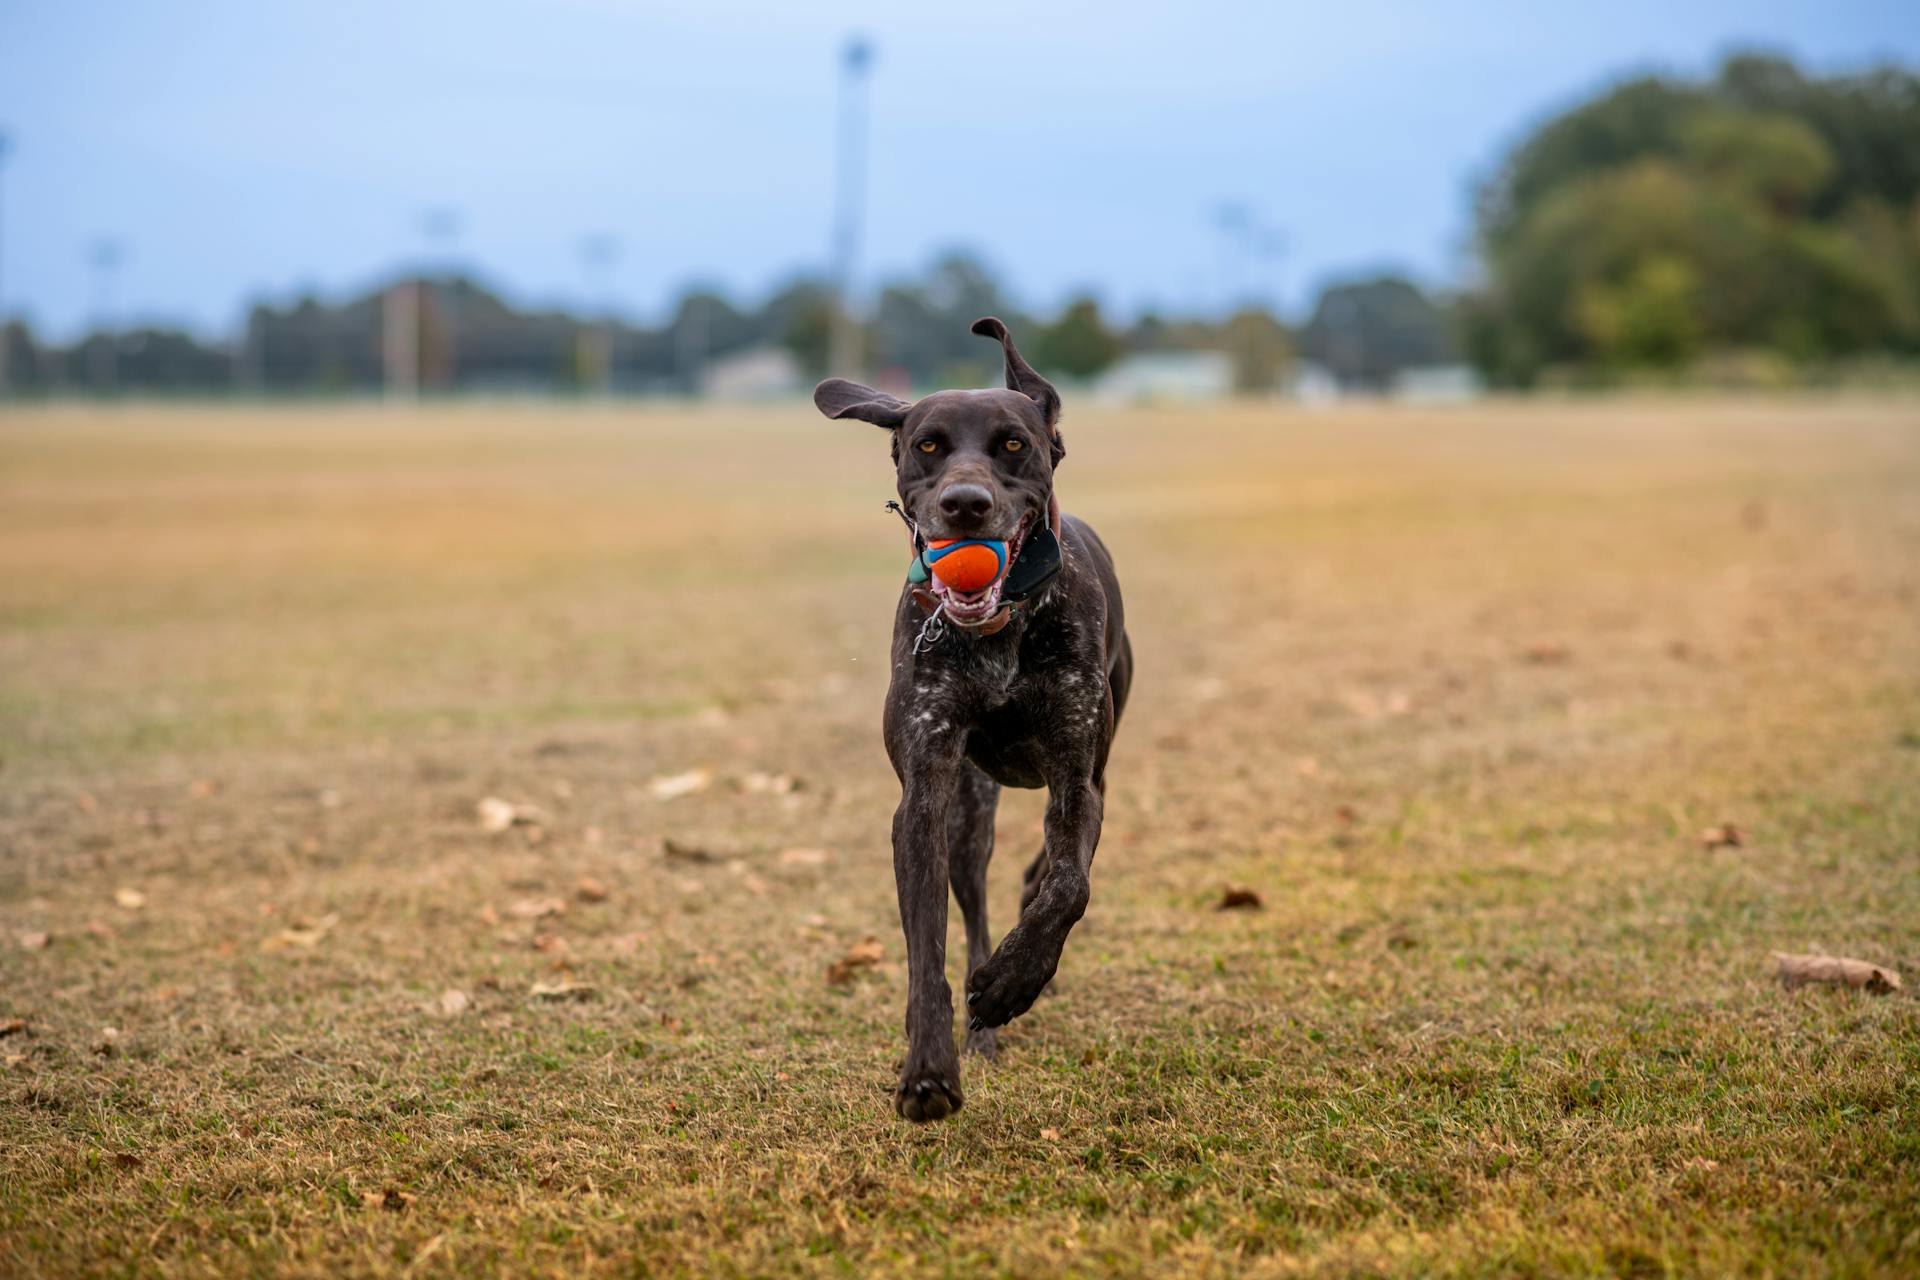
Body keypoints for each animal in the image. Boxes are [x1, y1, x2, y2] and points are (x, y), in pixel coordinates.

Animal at [806, 320, 1121, 1120]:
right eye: (928, 445)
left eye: (1013, 443)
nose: (966, 505)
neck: (1001, 630)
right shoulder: (925, 794)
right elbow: (928, 949)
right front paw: (930, 1067)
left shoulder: (1077, 777)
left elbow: (1069, 886)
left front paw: (1013, 981)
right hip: (969, 814)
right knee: (974, 903)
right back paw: (981, 1025)